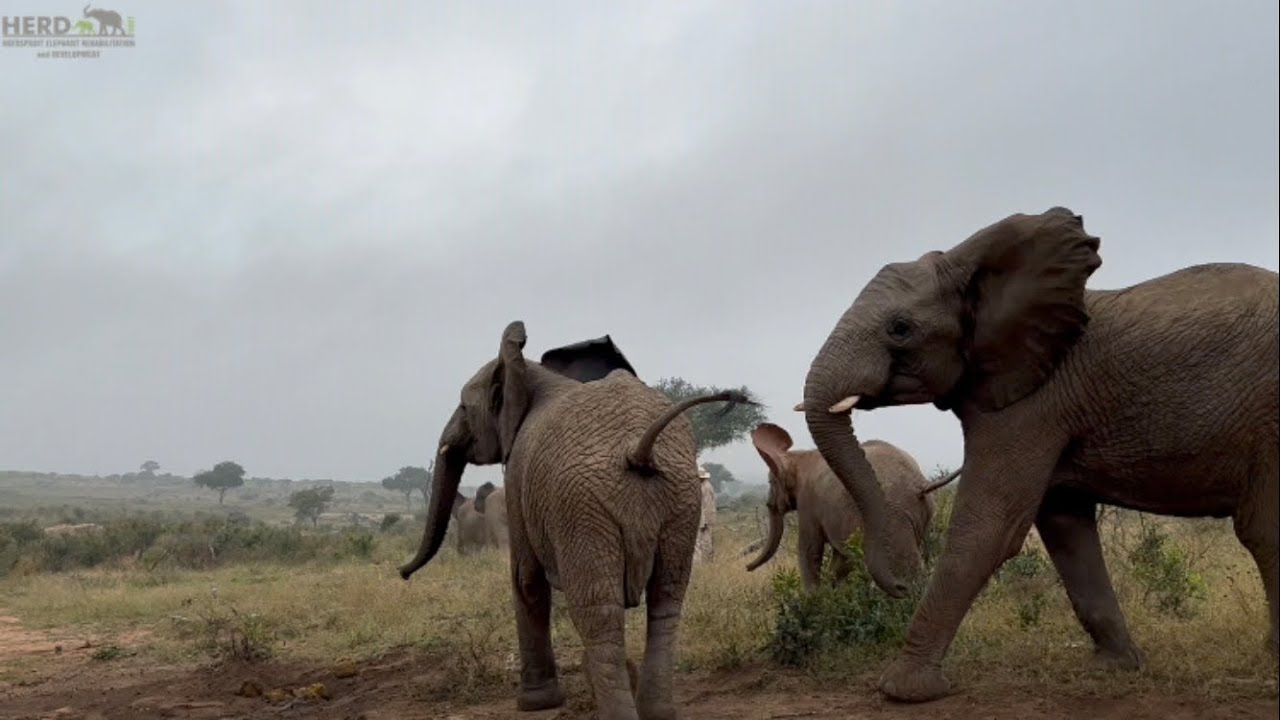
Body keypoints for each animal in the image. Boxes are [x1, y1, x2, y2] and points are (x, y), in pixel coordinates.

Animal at [399, 322, 751, 720]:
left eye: (462, 406)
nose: (403, 574)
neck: (531, 372)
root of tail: (638, 448)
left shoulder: (517, 476)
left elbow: (526, 580)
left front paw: (535, 704)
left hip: (583, 507)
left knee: (598, 611)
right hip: (679, 500)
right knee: (666, 599)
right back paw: (656, 711)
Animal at [745, 423, 935, 591]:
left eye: (770, 482)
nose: (747, 567)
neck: (798, 456)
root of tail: (920, 483)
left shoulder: (808, 501)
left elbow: (809, 551)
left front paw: (813, 599)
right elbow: (841, 559)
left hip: (892, 514)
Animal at [798, 206, 1278, 702]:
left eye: (899, 329)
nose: (900, 583)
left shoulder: (1032, 404)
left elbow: (989, 527)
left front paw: (903, 689)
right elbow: (1065, 525)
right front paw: (1116, 667)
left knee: (1263, 531)